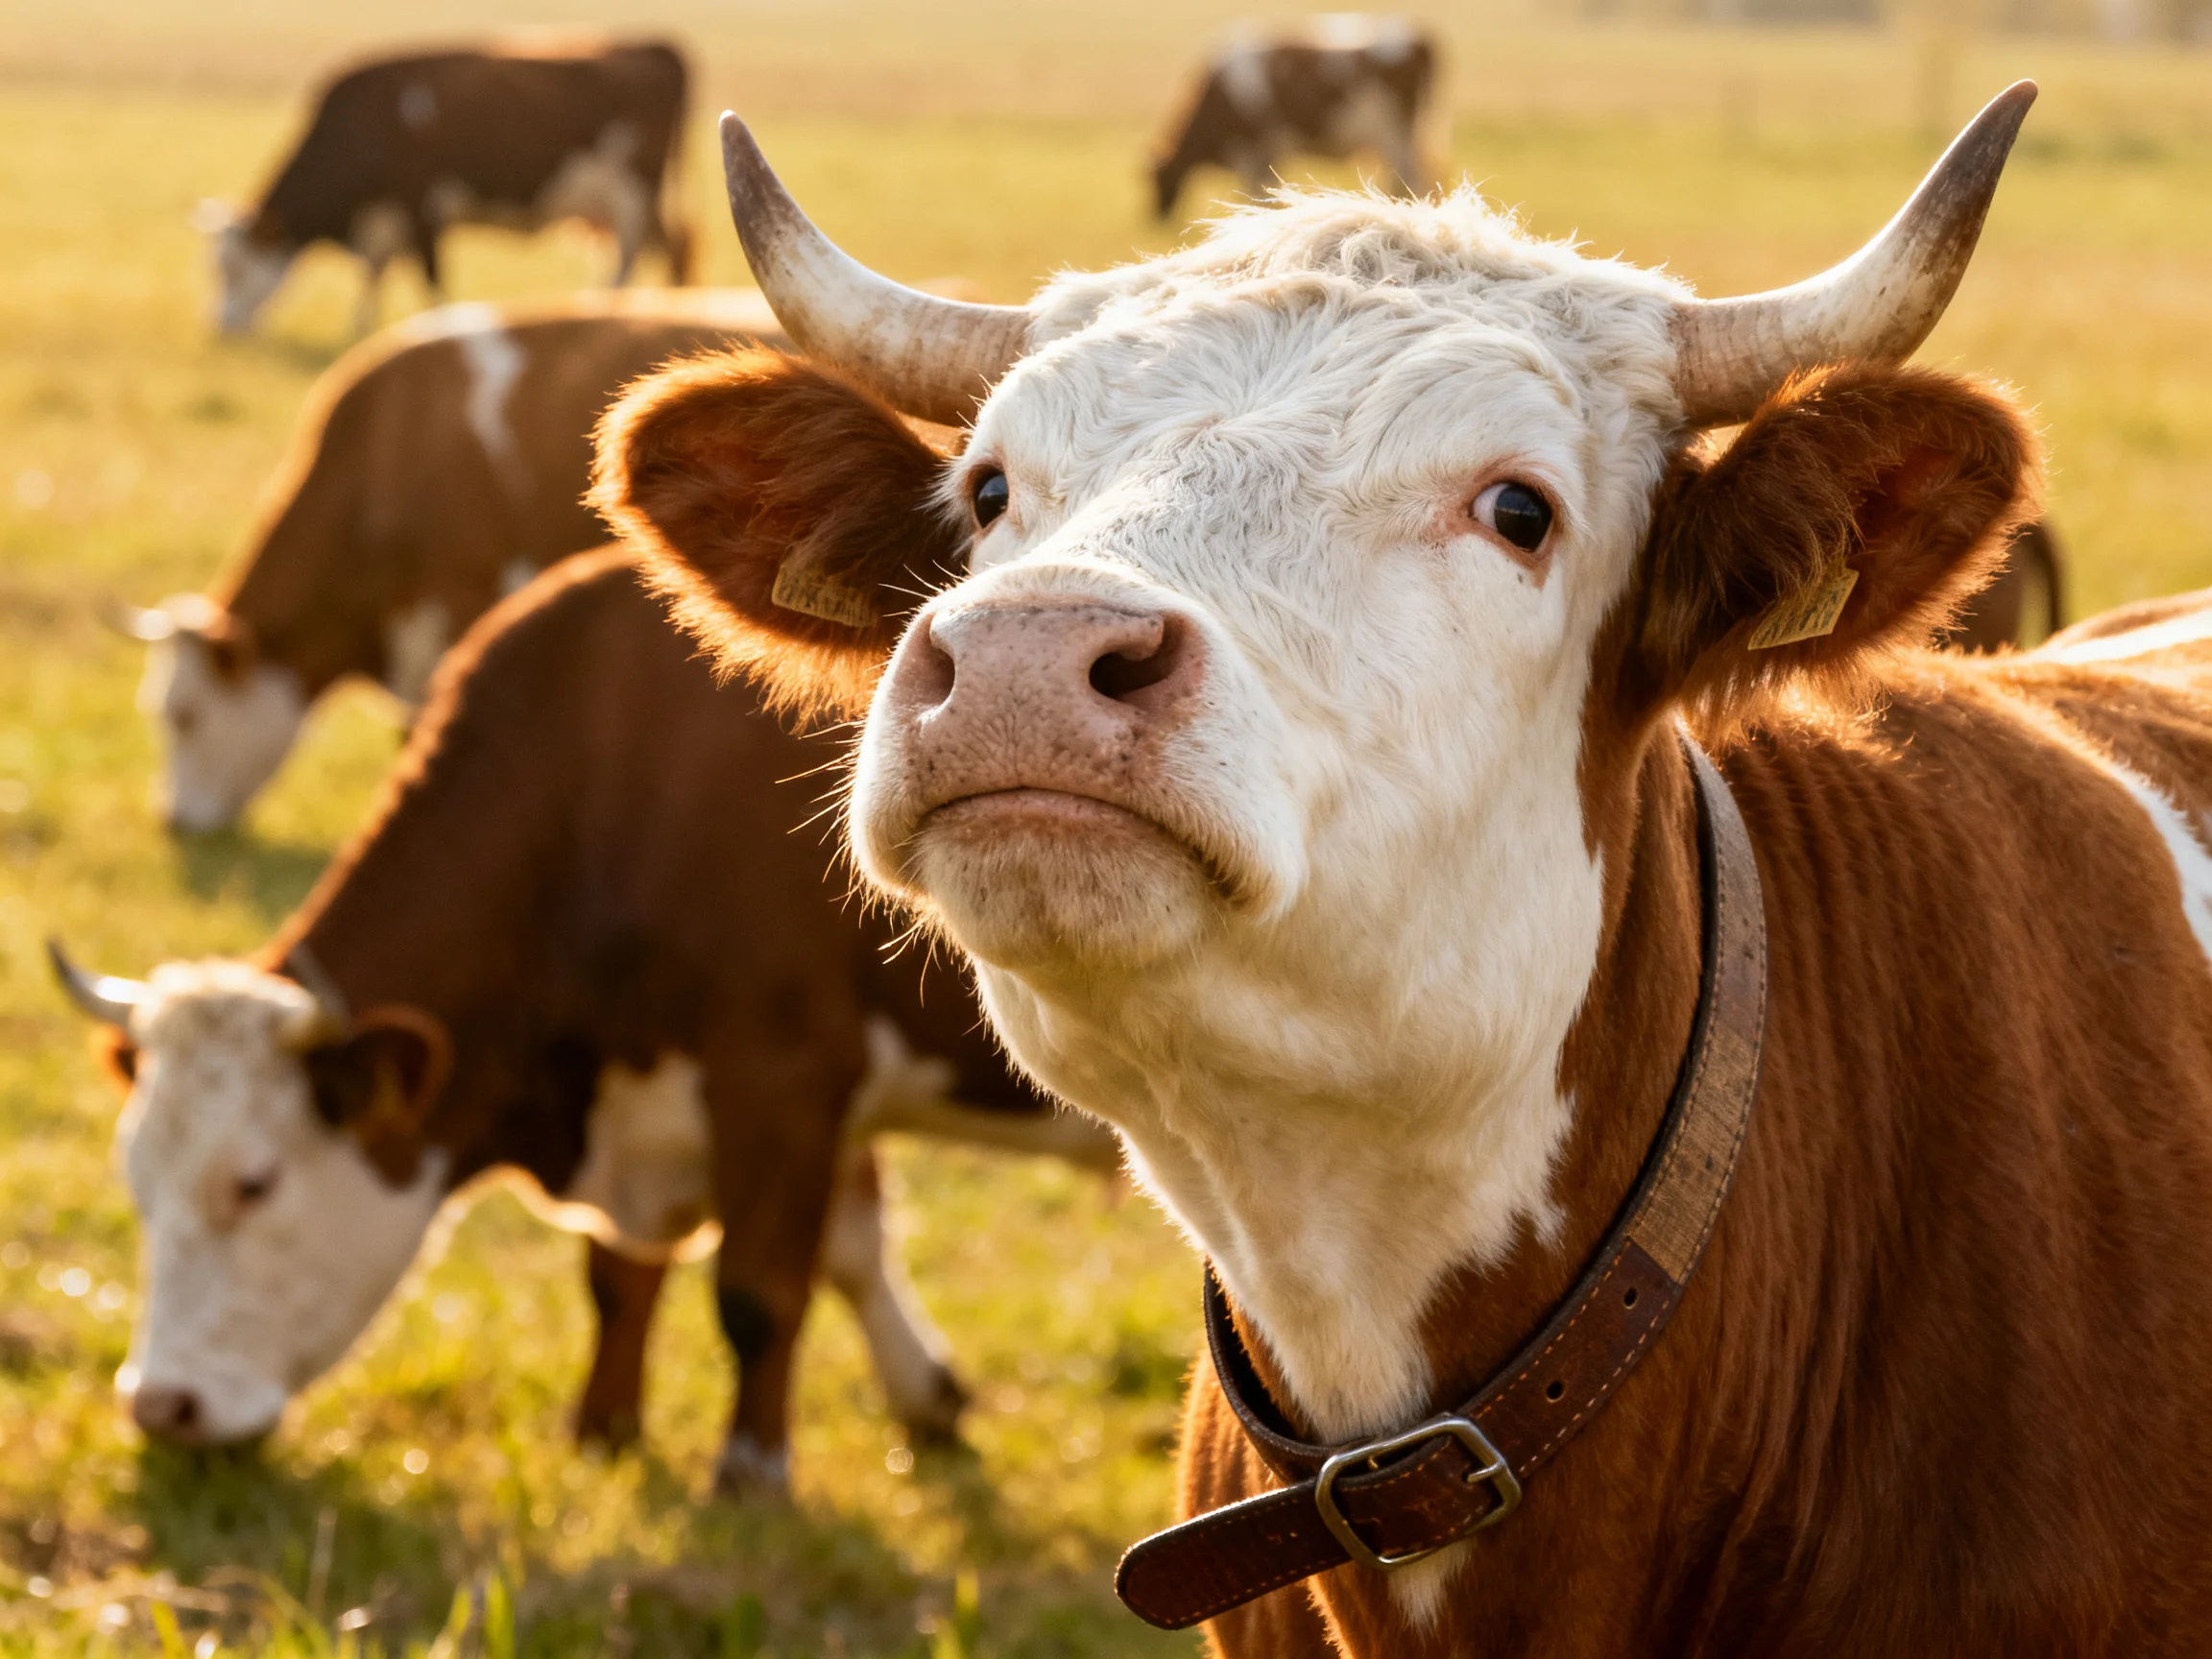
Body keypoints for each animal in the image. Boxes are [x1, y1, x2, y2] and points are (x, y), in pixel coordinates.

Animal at [54, 550, 1115, 1492]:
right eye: (136, 1181)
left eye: (254, 1184)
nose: (160, 1406)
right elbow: (652, 1272)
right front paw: (607, 1430)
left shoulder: (782, 1077)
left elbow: (760, 1290)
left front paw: (752, 1471)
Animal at [199, 37, 693, 338]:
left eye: (234, 269)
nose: (221, 329)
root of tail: (657, 46)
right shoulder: (383, 220)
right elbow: (373, 276)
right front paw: (358, 332)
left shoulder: (422, 206)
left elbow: (431, 281)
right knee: (667, 246)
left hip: (632, 193)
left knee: (630, 257)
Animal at [1152, 16, 1438, 218]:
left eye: (1156, 180)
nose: (1158, 216)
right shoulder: (1264, 153)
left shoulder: (1249, 150)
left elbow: (1252, 194)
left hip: (1396, 135)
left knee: (1409, 177)